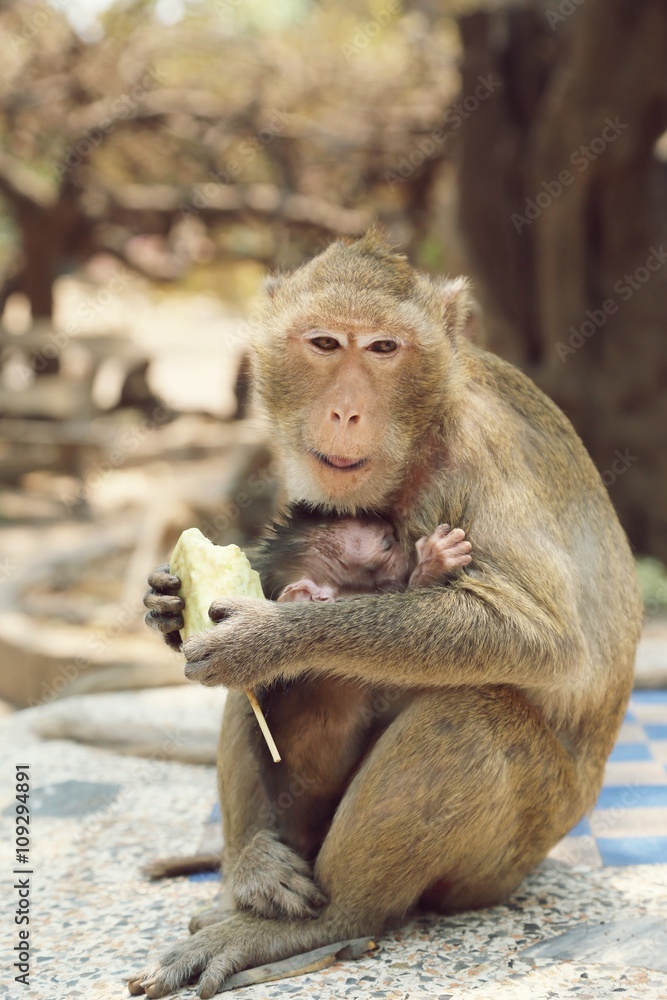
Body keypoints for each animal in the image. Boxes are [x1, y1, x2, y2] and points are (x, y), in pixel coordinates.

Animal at [133, 231, 642, 1000]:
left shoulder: (480, 457)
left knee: (468, 714)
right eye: (323, 343)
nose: (346, 410)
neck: (420, 440)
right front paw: (167, 604)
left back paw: (325, 923)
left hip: (509, 855)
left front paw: (271, 638)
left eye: (382, 348)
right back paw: (252, 870)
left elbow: (540, 638)